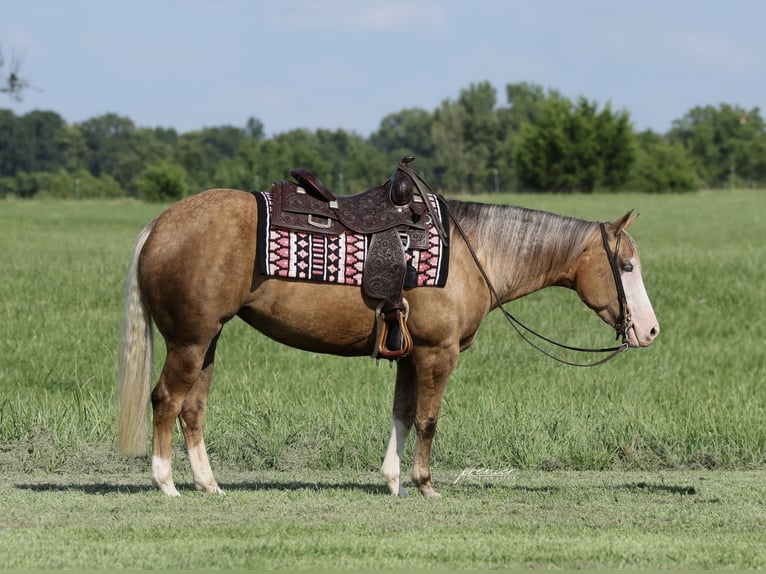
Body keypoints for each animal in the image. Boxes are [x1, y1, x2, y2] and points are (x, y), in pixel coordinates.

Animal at [117, 187, 659, 497]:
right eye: (626, 266)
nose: (650, 330)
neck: (472, 254)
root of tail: (159, 224)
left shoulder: (410, 355)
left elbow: (401, 413)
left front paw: (394, 480)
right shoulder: (438, 353)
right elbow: (427, 418)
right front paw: (425, 485)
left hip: (207, 340)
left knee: (192, 408)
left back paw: (209, 485)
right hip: (189, 341)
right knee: (165, 400)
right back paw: (166, 484)